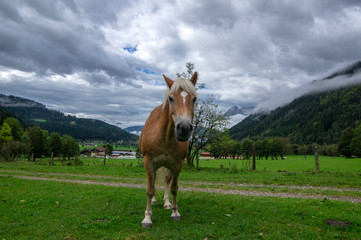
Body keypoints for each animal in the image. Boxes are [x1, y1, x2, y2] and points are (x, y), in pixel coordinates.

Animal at [139, 71, 198, 229]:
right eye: (171, 98)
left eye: (194, 99)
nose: (184, 128)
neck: (165, 136)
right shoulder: (148, 162)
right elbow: (150, 189)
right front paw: (147, 218)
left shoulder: (177, 164)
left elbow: (174, 188)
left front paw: (175, 212)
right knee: (153, 181)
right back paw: (154, 201)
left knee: (166, 180)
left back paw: (166, 203)